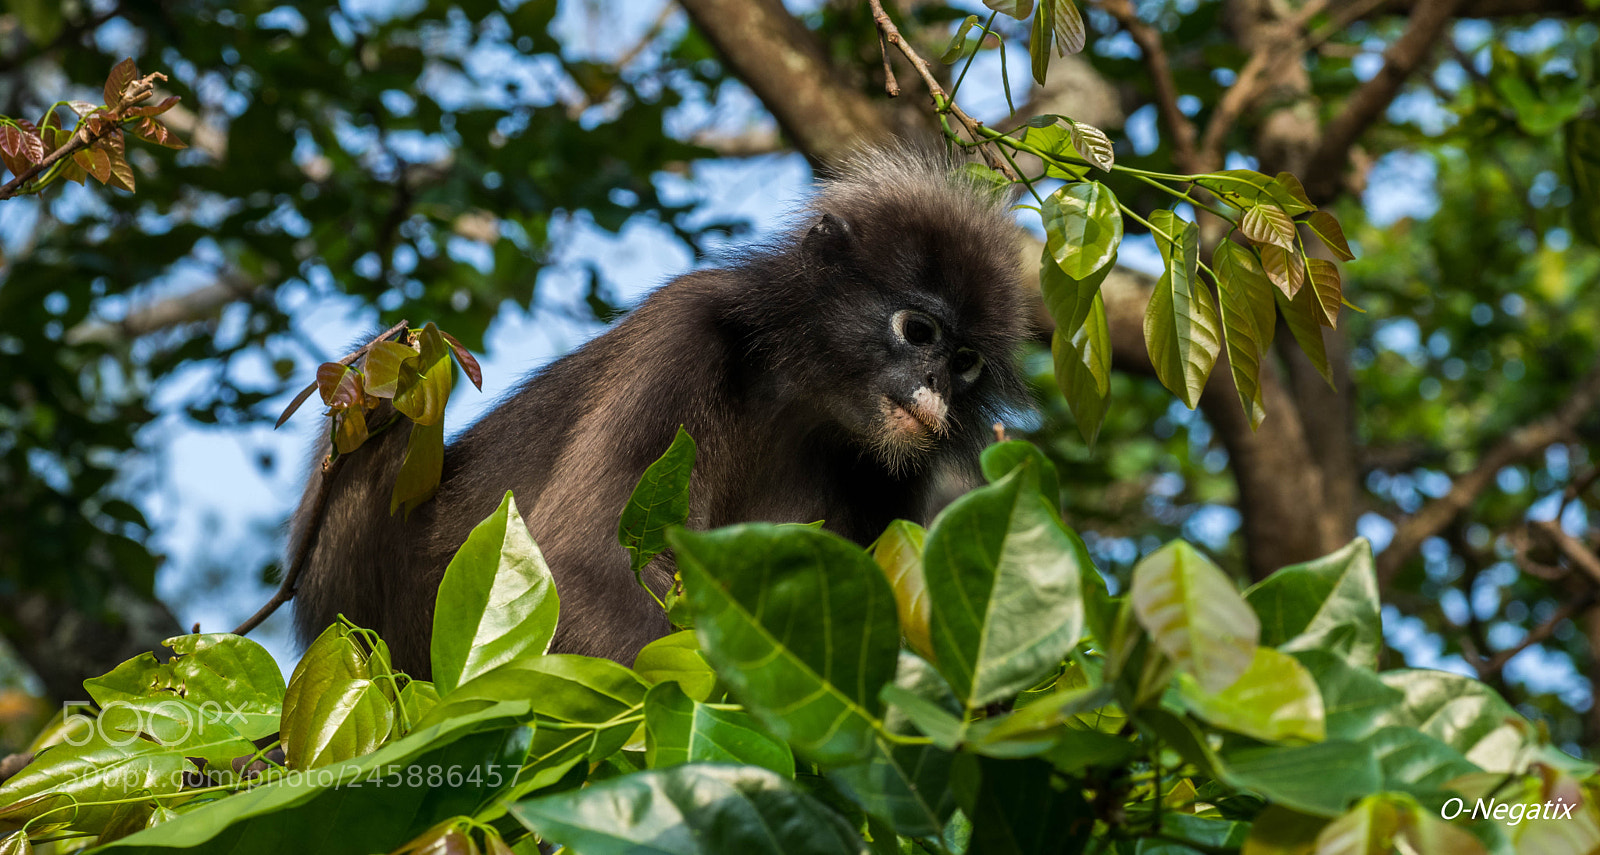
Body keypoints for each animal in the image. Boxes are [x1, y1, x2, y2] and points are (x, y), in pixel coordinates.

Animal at [288, 146, 1031, 677]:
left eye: (965, 362)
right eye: (918, 331)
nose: (937, 385)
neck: (801, 399)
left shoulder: (895, 467)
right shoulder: (684, 332)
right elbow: (582, 563)